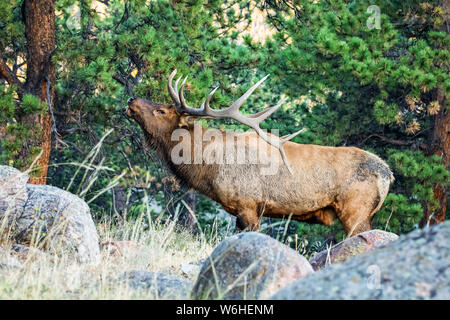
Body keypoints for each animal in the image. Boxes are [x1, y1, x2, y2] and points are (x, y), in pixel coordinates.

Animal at [127, 69, 394, 235]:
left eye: (161, 110)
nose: (131, 100)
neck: (209, 167)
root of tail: (387, 174)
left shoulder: (248, 204)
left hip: (355, 210)